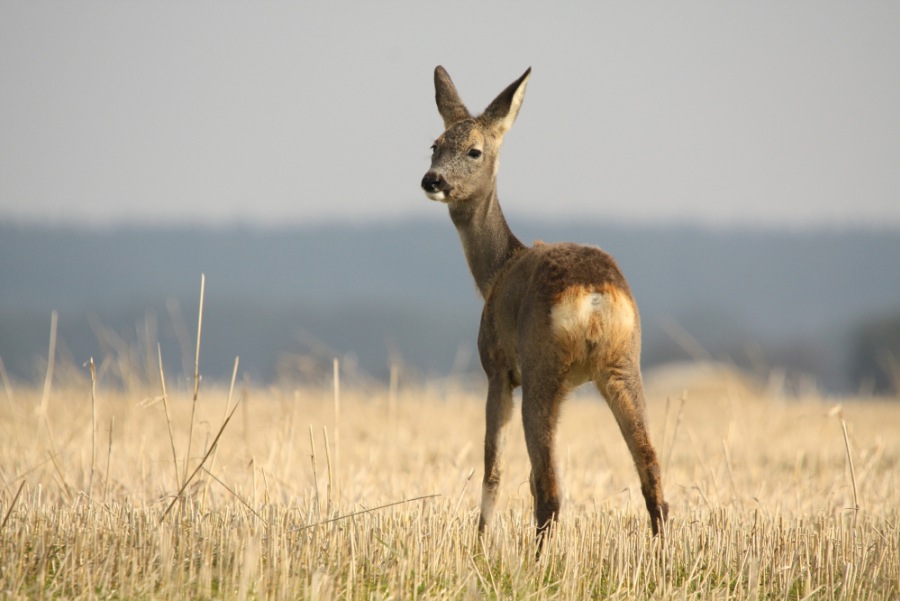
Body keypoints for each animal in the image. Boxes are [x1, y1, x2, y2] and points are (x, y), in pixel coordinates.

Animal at [420, 66, 668, 545]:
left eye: (475, 150)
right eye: (434, 145)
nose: (432, 180)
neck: (496, 269)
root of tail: (594, 298)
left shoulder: (497, 365)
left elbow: (493, 468)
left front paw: (480, 543)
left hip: (542, 368)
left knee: (550, 490)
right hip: (624, 364)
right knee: (652, 477)